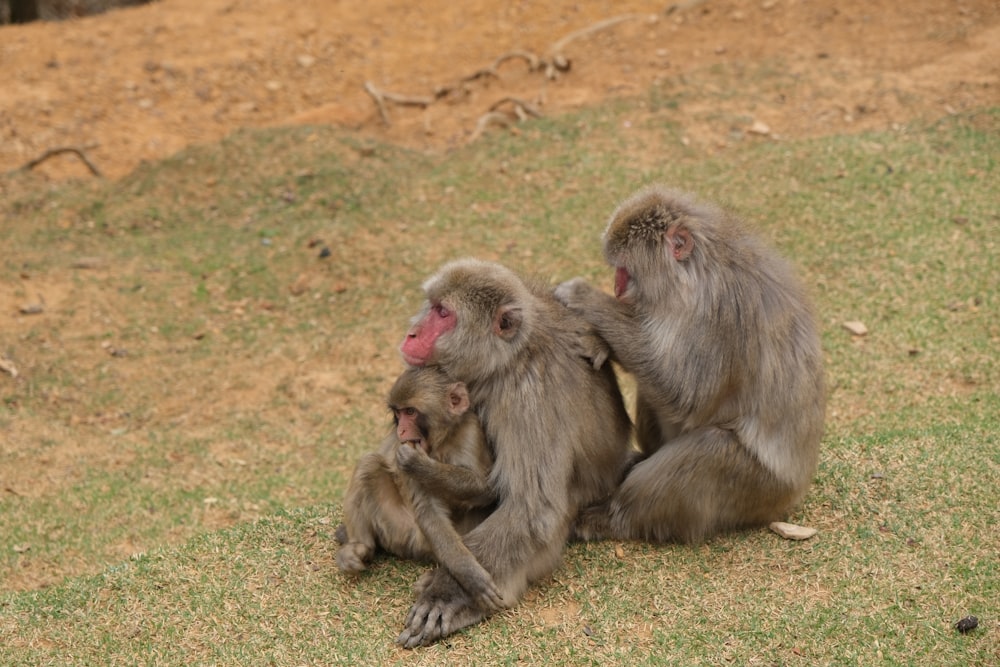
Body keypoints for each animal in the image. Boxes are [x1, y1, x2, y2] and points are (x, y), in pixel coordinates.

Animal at [336, 368, 504, 612]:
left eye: (410, 412)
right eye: (398, 413)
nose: (401, 429)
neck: (441, 442)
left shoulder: (470, 430)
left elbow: (488, 489)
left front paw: (419, 464)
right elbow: (427, 508)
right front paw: (470, 574)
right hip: (403, 530)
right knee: (369, 464)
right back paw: (360, 547)